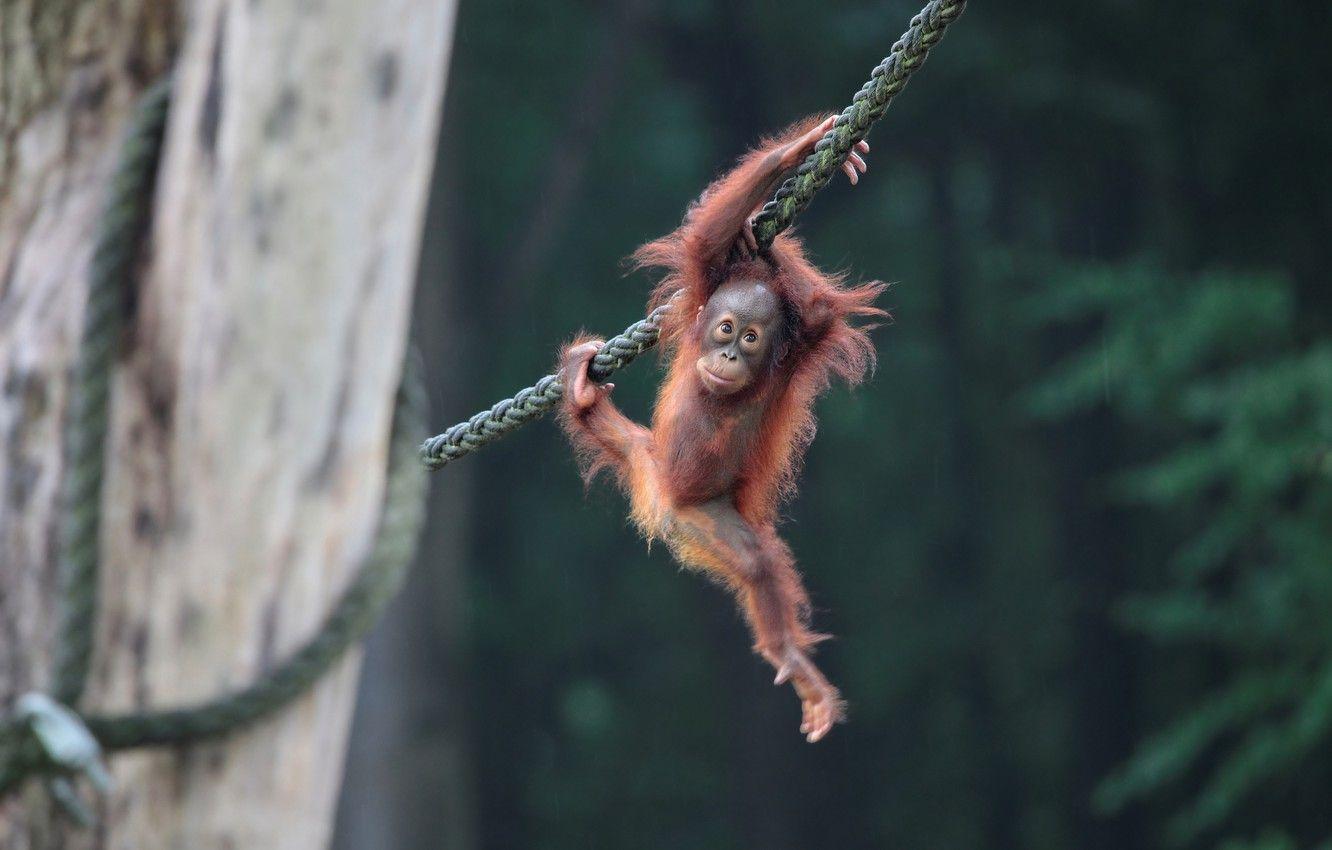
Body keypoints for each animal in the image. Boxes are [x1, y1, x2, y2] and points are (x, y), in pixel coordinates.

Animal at [559, 114, 884, 742]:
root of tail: (661, 497)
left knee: (755, 562)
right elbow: (710, 241)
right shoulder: (704, 284)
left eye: (751, 339)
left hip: (697, 513)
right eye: (726, 328)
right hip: (659, 473)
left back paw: (792, 660)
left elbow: (818, 310)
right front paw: (799, 150)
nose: (729, 355)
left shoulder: (801, 347)